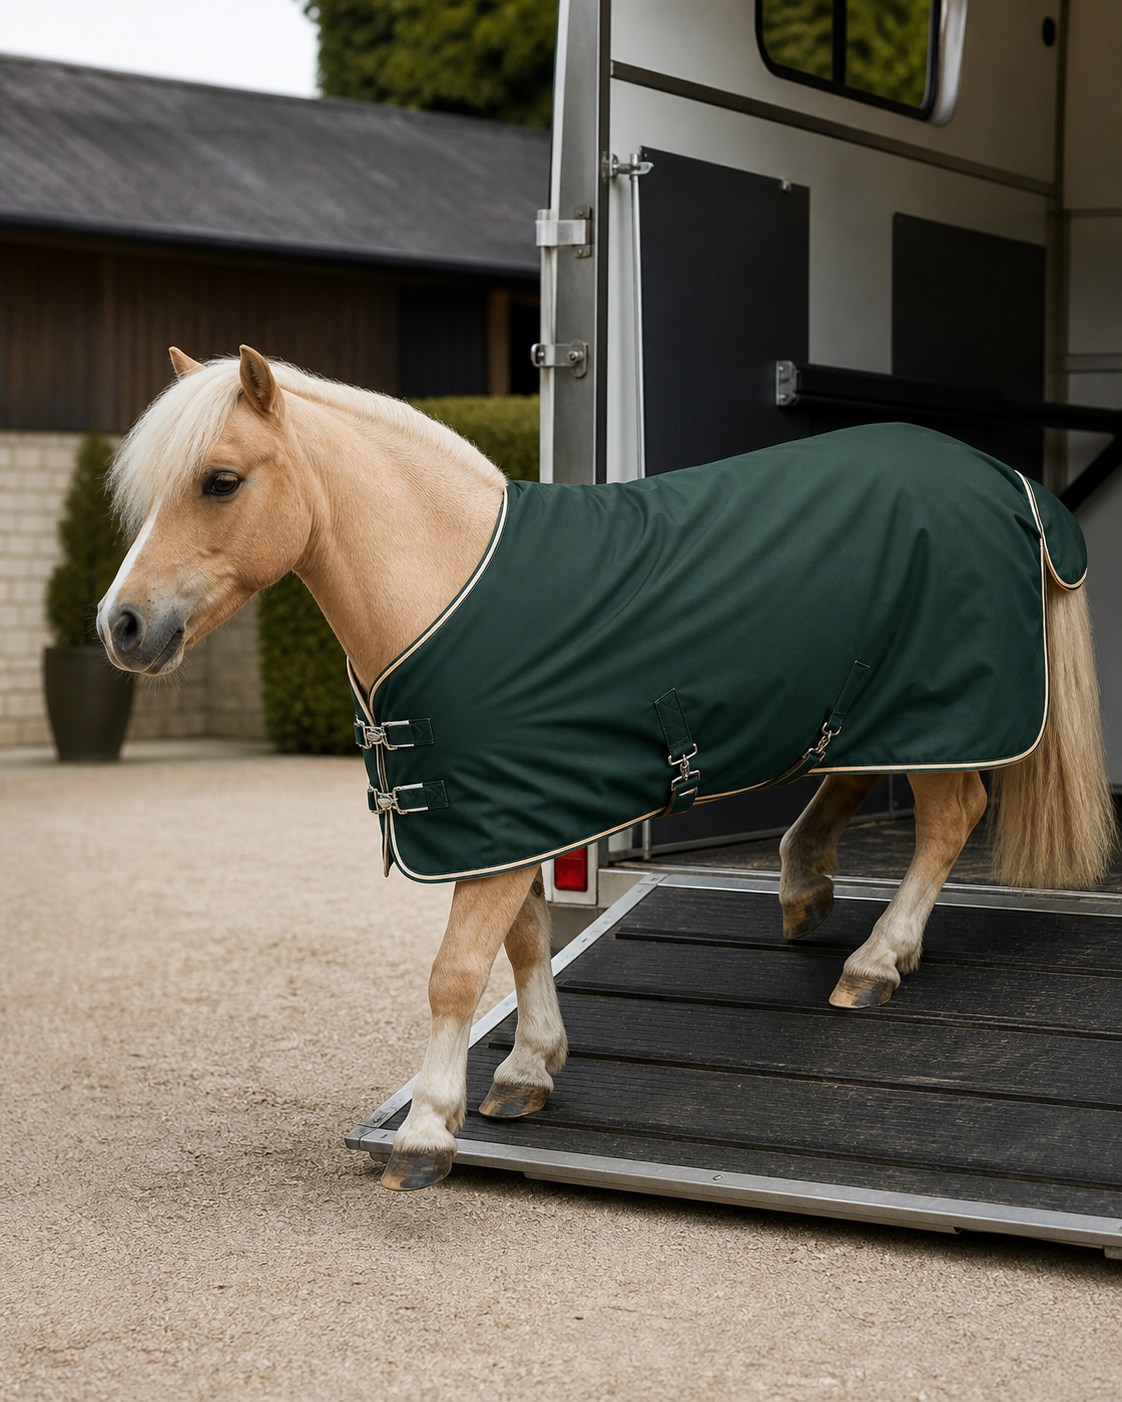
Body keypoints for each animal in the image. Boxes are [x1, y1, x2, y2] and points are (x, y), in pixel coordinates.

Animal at [98, 345, 1116, 1192]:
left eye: (221, 480)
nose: (121, 626)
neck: (448, 581)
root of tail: (1006, 479)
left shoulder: (504, 822)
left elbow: (457, 971)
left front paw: (429, 1129)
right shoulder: (514, 812)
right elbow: (525, 942)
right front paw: (526, 1067)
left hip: (943, 708)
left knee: (950, 819)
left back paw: (875, 961)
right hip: (873, 703)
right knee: (859, 779)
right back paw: (808, 889)